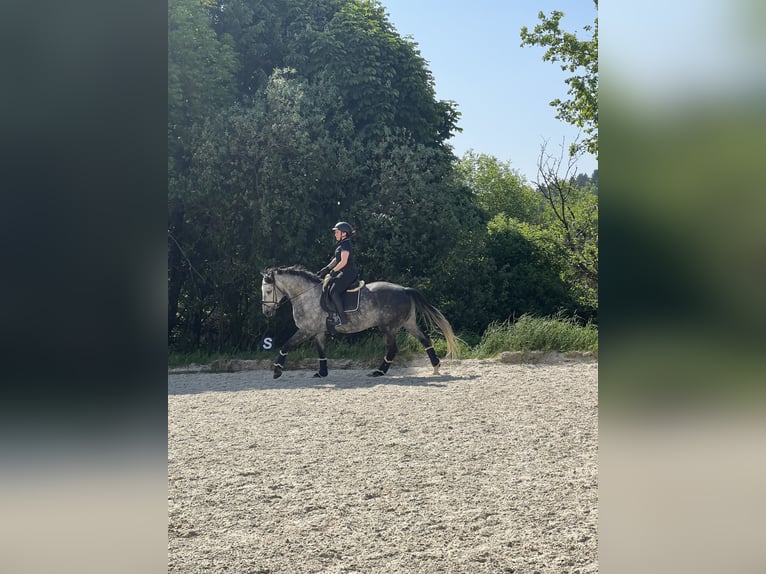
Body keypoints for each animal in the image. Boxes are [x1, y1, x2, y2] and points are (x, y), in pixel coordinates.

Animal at [261, 265, 459, 379]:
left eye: (269, 290)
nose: (266, 312)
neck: (306, 294)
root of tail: (404, 289)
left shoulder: (306, 330)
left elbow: (286, 345)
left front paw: (277, 371)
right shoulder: (318, 331)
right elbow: (321, 352)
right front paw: (322, 373)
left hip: (388, 328)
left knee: (392, 349)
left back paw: (379, 372)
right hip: (407, 323)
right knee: (425, 340)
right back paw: (436, 367)